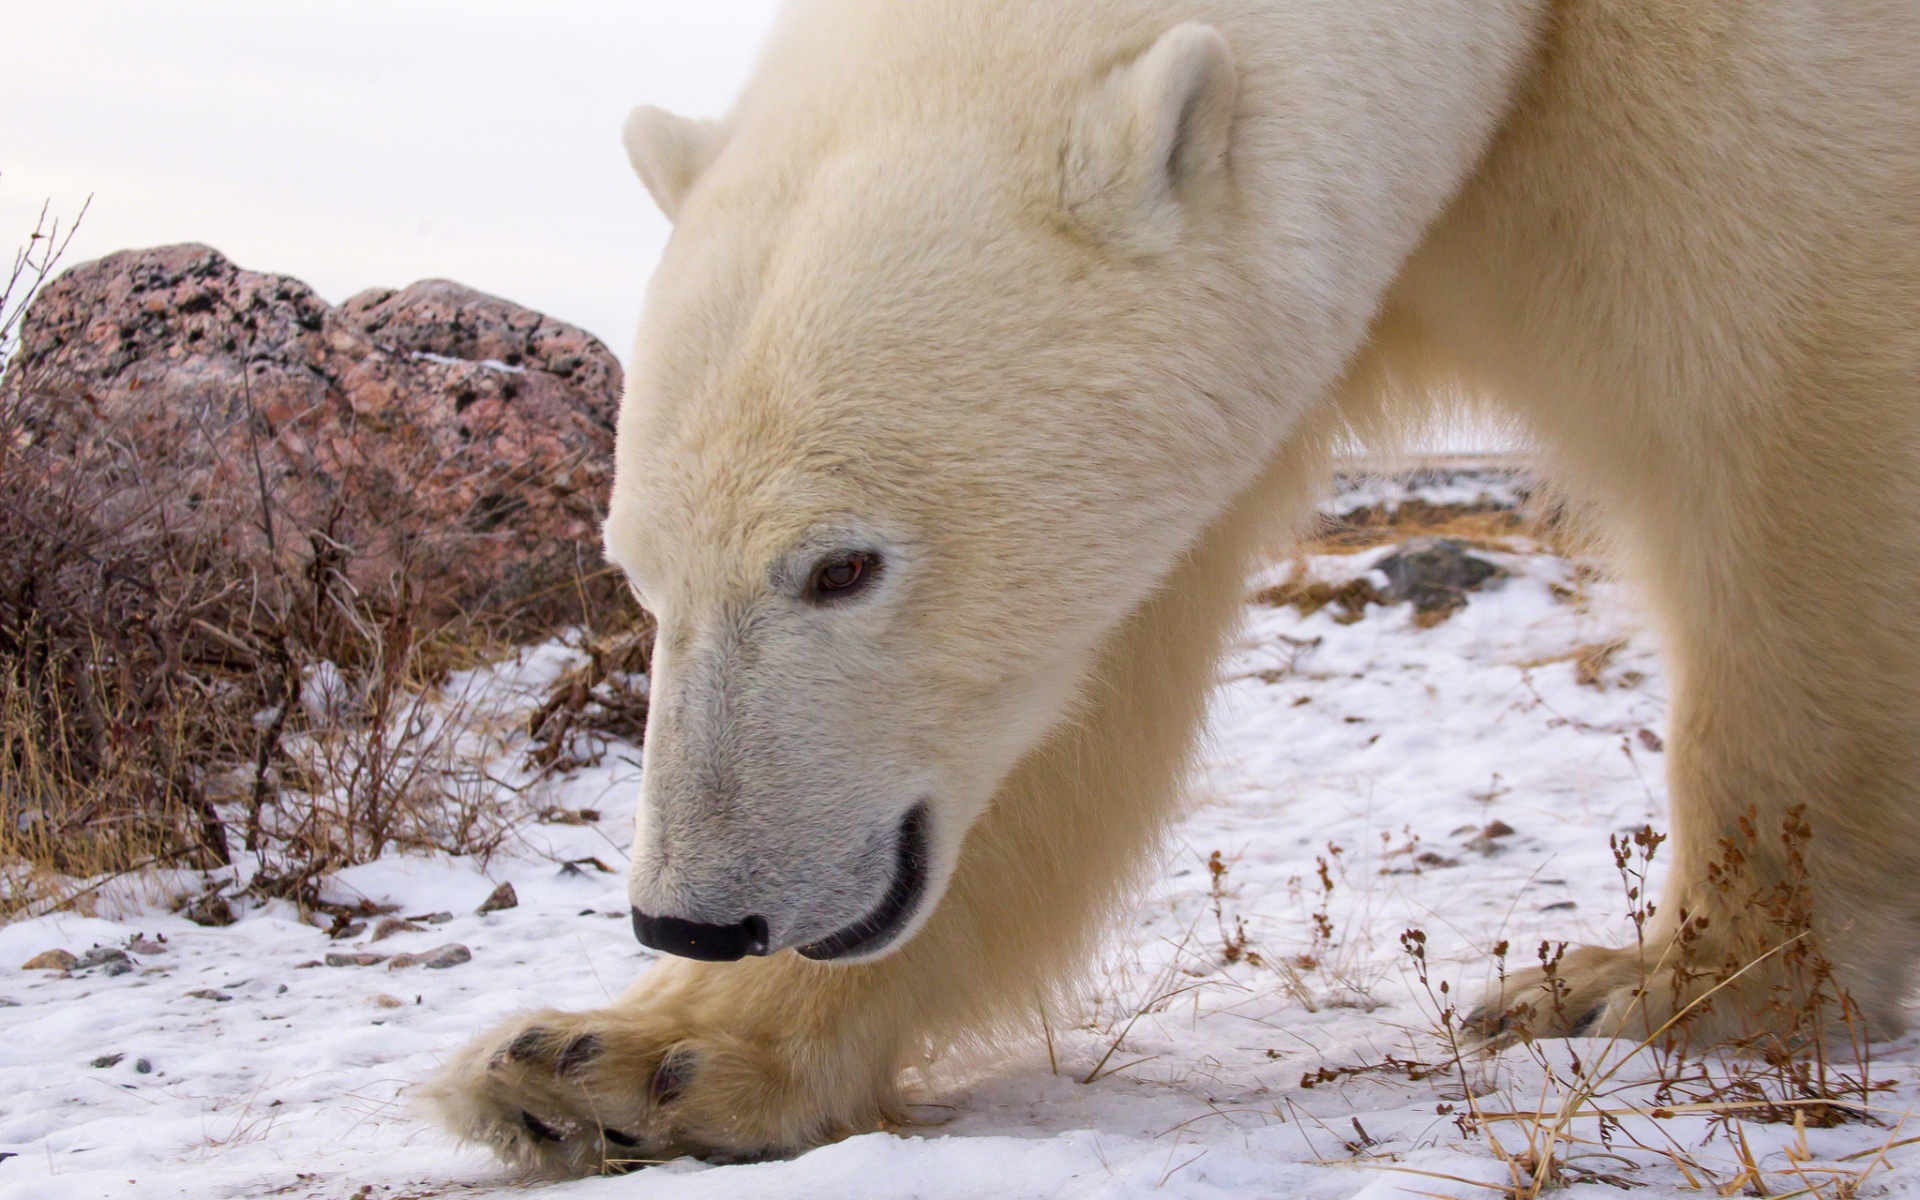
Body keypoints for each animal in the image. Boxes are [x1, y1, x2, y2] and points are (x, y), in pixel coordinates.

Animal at [427, 0, 1920, 1174]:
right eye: (636, 575)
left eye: (843, 567)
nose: (697, 915)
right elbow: (1075, 694)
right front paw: (616, 1064)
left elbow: (1792, 447)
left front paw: (1670, 984)